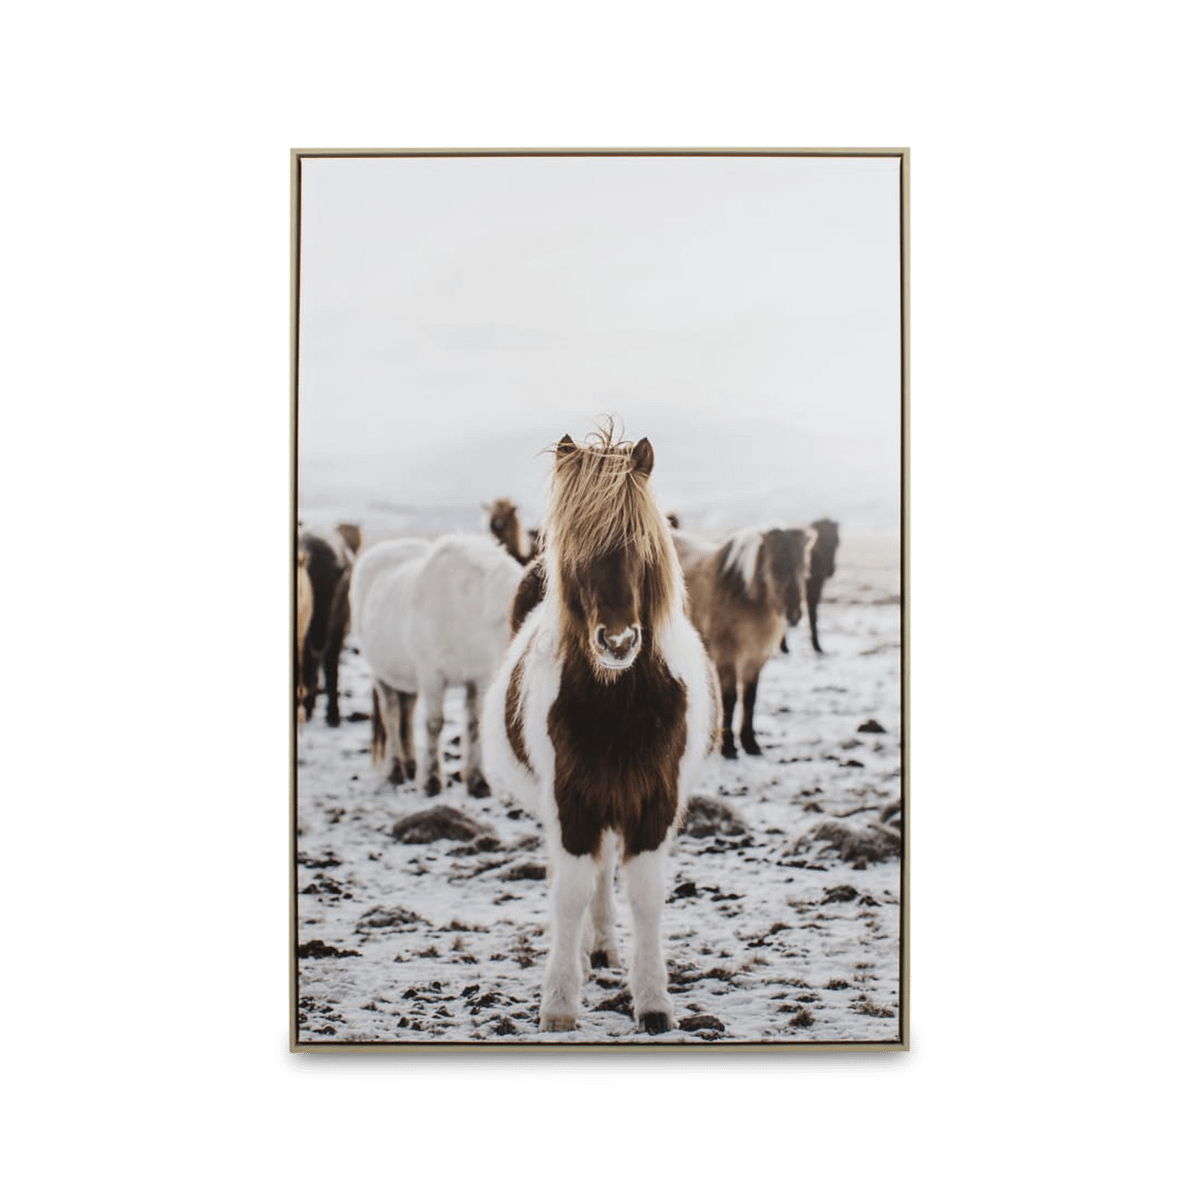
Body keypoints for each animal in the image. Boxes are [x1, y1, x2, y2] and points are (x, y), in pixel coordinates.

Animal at [299, 525, 361, 726]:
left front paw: (334, 716)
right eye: (307, 594)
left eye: (334, 597)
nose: (319, 641)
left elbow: (332, 670)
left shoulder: (338, 629)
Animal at [354, 533, 523, 797]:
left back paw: (411, 765)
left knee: (407, 712)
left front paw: (477, 781)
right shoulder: (432, 675)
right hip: (381, 675)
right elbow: (435, 724)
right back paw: (396, 770)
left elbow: (474, 724)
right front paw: (432, 781)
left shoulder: (480, 678)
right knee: (391, 714)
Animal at [482, 426, 720, 1035]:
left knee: (605, 868)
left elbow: (645, 896)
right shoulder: (570, 801)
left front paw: (654, 1001)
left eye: (642, 548)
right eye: (578, 553)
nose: (618, 642)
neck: (618, 707)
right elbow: (568, 894)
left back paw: (603, 950)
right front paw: (560, 1002)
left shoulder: (654, 802)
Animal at [672, 525, 808, 760]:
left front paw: (750, 743)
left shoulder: (754, 660)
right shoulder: (727, 659)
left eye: (803, 565)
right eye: (774, 566)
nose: (794, 615)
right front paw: (728, 747)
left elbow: (749, 699)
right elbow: (730, 699)